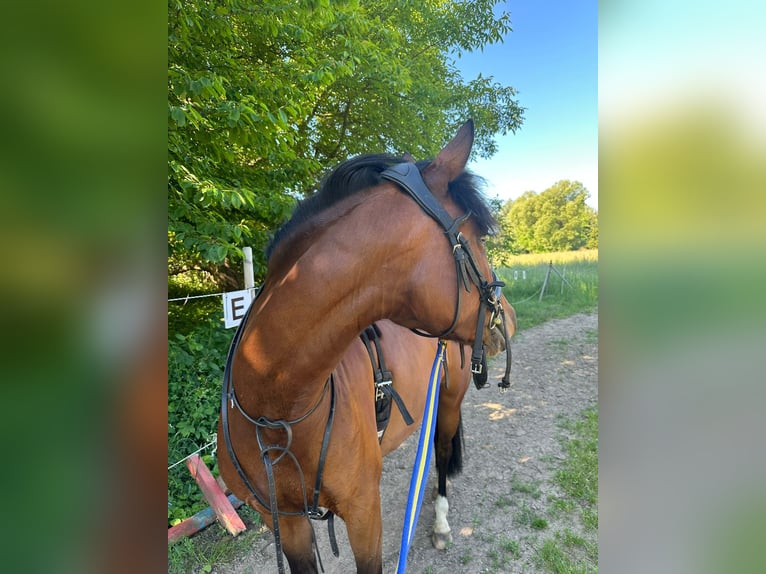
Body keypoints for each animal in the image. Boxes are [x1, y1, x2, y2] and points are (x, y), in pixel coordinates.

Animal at [217, 120, 516, 573]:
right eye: (477, 236)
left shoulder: (363, 517)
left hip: (448, 399)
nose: (507, 316)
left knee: (442, 451)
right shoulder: (285, 522)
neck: (277, 407)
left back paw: (440, 522)